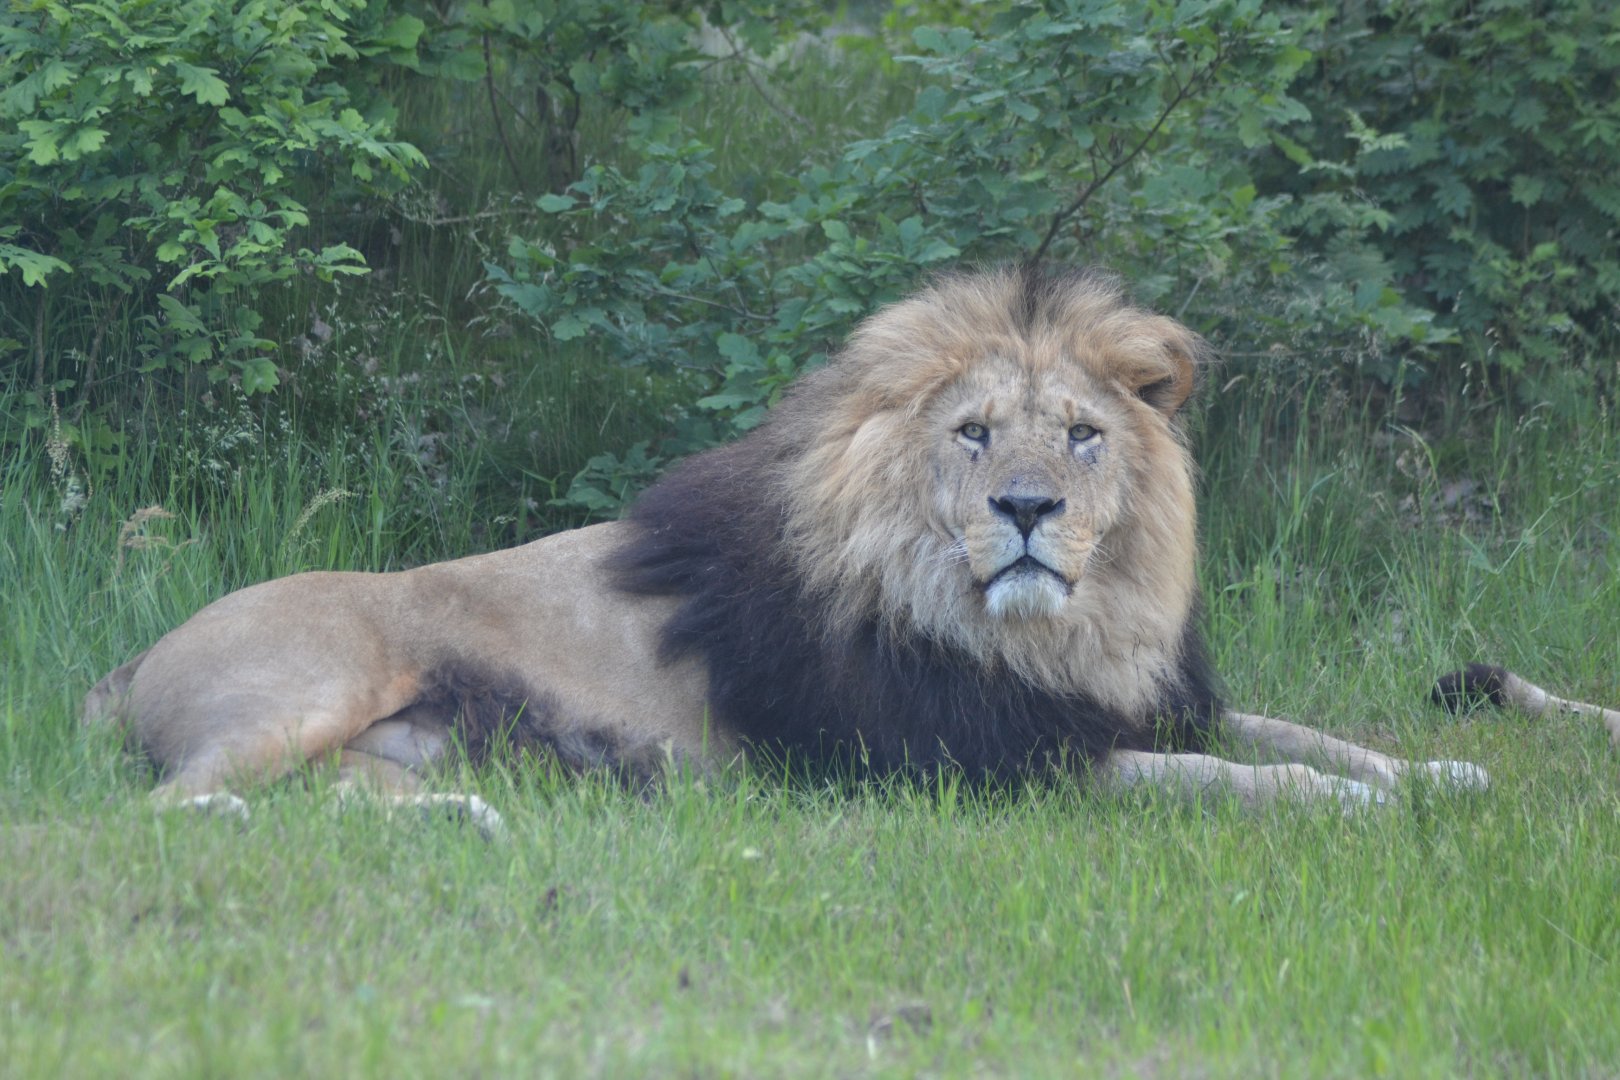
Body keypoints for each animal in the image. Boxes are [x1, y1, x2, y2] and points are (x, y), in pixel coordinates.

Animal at [85, 267, 1614, 834]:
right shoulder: (990, 764)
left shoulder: (1139, 699)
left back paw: (464, 819)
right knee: (171, 810)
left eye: (1081, 437)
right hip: (309, 686)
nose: (1026, 510)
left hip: (376, 743)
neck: (1057, 628)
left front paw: (1449, 767)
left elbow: (1307, 731)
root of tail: (130, 661)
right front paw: (1371, 809)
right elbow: (1233, 777)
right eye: (974, 435)